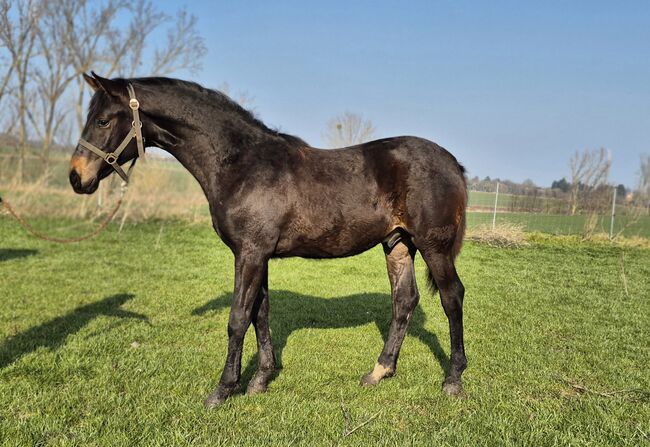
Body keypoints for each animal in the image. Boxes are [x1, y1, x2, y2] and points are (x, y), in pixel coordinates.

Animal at [69, 74, 466, 410]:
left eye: (103, 120)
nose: (76, 177)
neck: (240, 164)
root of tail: (453, 163)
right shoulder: (258, 255)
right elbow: (260, 313)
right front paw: (260, 380)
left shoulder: (250, 253)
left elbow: (238, 318)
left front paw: (223, 390)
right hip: (398, 244)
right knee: (404, 301)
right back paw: (380, 371)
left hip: (434, 247)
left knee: (452, 297)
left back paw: (453, 379)